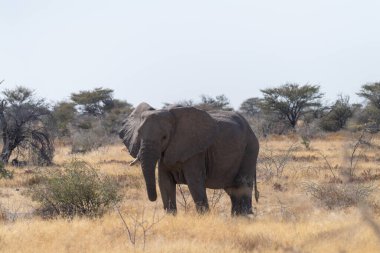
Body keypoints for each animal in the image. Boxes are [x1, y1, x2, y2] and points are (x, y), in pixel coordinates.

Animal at [119, 103, 260, 215]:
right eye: (139, 134)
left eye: (164, 137)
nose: (153, 199)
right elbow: (164, 182)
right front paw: (170, 216)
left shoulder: (195, 151)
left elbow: (195, 183)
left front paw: (204, 217)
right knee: (232, 190)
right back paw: (237, 217)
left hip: (250, 148)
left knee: (242, 185)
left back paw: (245, 217)